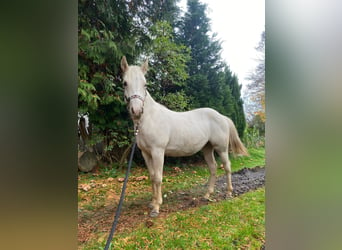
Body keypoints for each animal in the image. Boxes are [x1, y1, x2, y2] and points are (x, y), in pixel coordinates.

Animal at [121, 56, 248, 217]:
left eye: (145, 84)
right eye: (125, 83)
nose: (136, 111)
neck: (150, 118)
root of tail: (222, 116)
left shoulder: (158, 152)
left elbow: (158, 178)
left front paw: (156, 207)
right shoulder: (146, 153)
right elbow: (152, 176)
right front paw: (152, 202)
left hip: (221, 148)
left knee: (227, 167)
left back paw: (229, 193)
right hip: (207, 148)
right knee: (213, 168)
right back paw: (207, 194)